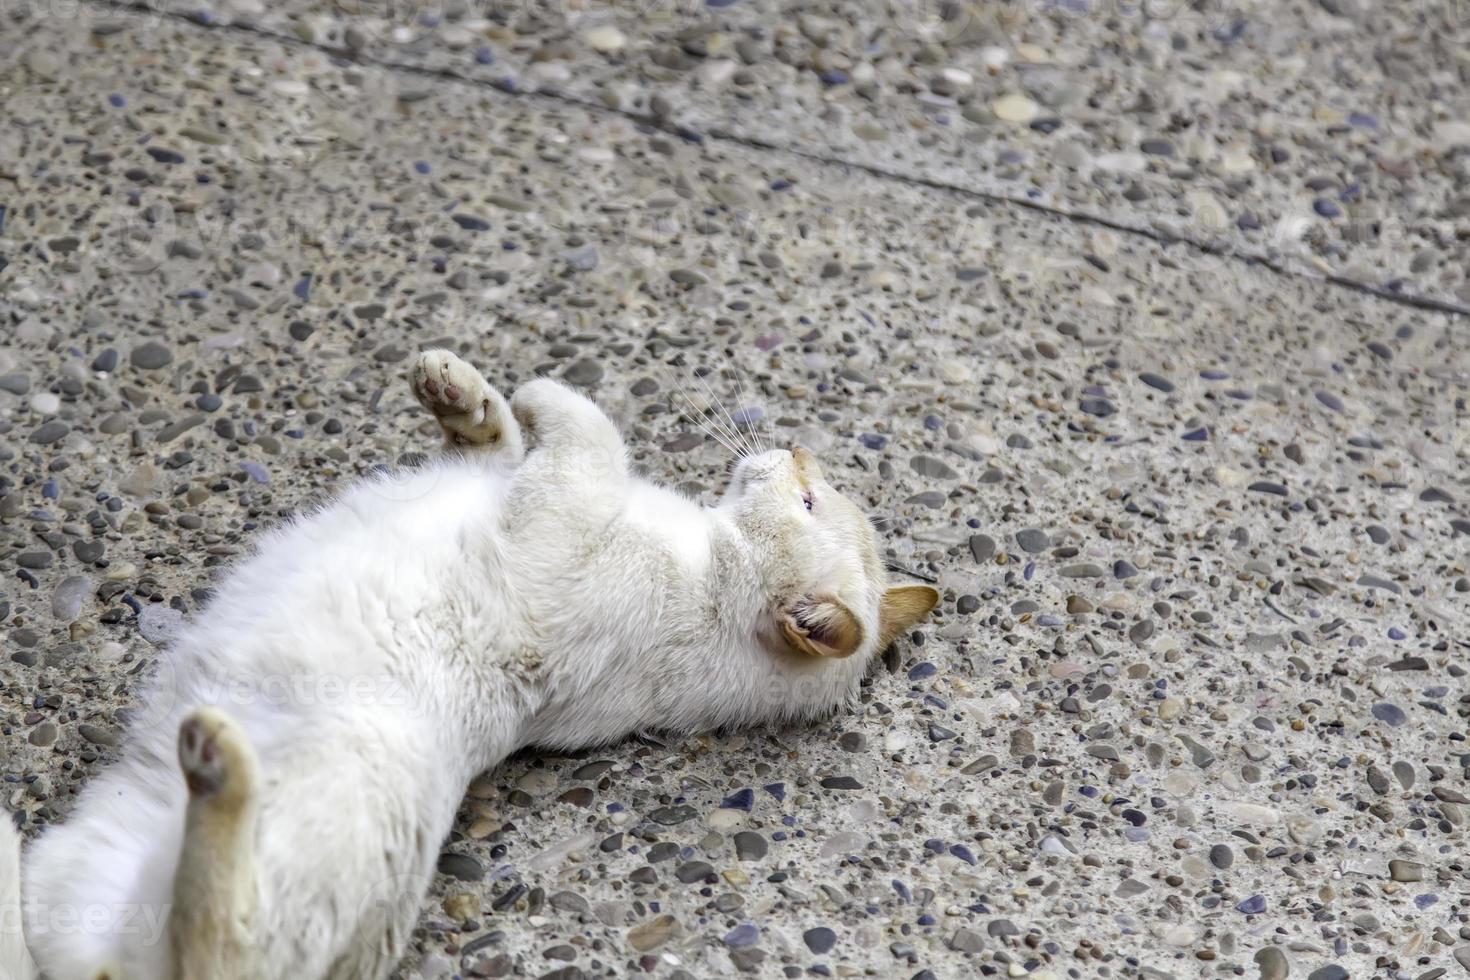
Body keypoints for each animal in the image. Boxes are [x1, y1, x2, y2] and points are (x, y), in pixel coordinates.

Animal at [0, 348, 934, 975]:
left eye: (807, 498)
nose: (799, 449)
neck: (708, 571)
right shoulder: (521, 492)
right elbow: (495, 443)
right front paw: (460, 391)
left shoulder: (560, 513)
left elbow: (586, 429)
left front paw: (536, 391)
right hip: (74, 881)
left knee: (219, 951)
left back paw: (215, 765)